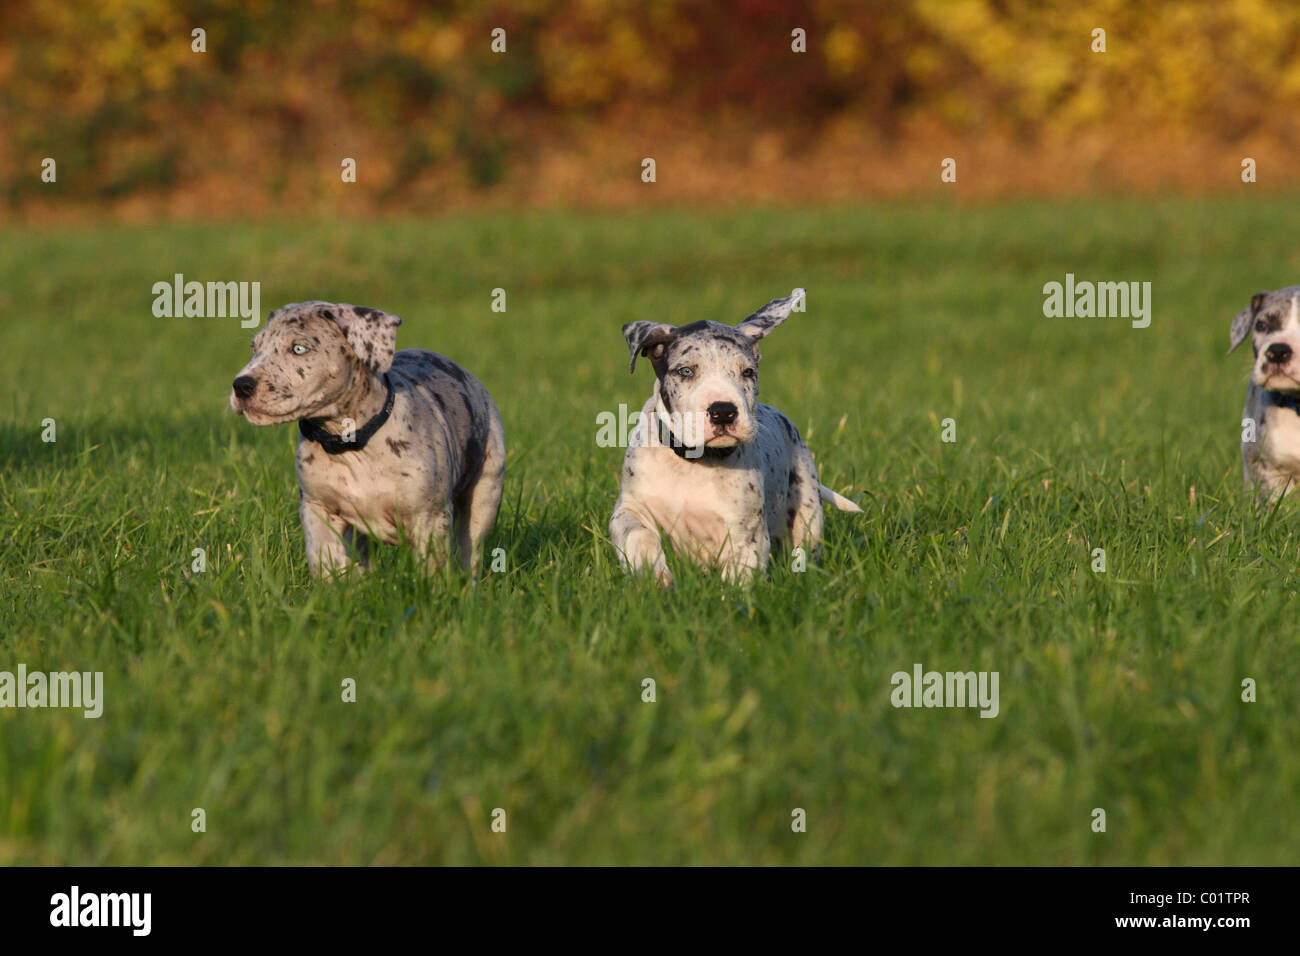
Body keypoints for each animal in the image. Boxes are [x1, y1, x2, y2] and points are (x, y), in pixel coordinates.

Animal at [228, 303, 501, 580]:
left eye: (299, 349)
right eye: (254, 348)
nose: (241, 385)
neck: (350, 444)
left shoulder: (430, 518)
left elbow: (430, 570)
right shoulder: (318, 509)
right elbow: (324, 561)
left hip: (485, 493)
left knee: (470, 549)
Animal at [608, 287, 863, 587]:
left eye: (748, 372)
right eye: (686, 371)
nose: (723, 412)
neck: (692, 462)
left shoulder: (747, 535)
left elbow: (738, 581)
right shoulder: (629, 508)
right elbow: (639, 535)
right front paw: (654, 575)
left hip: (806, 512)